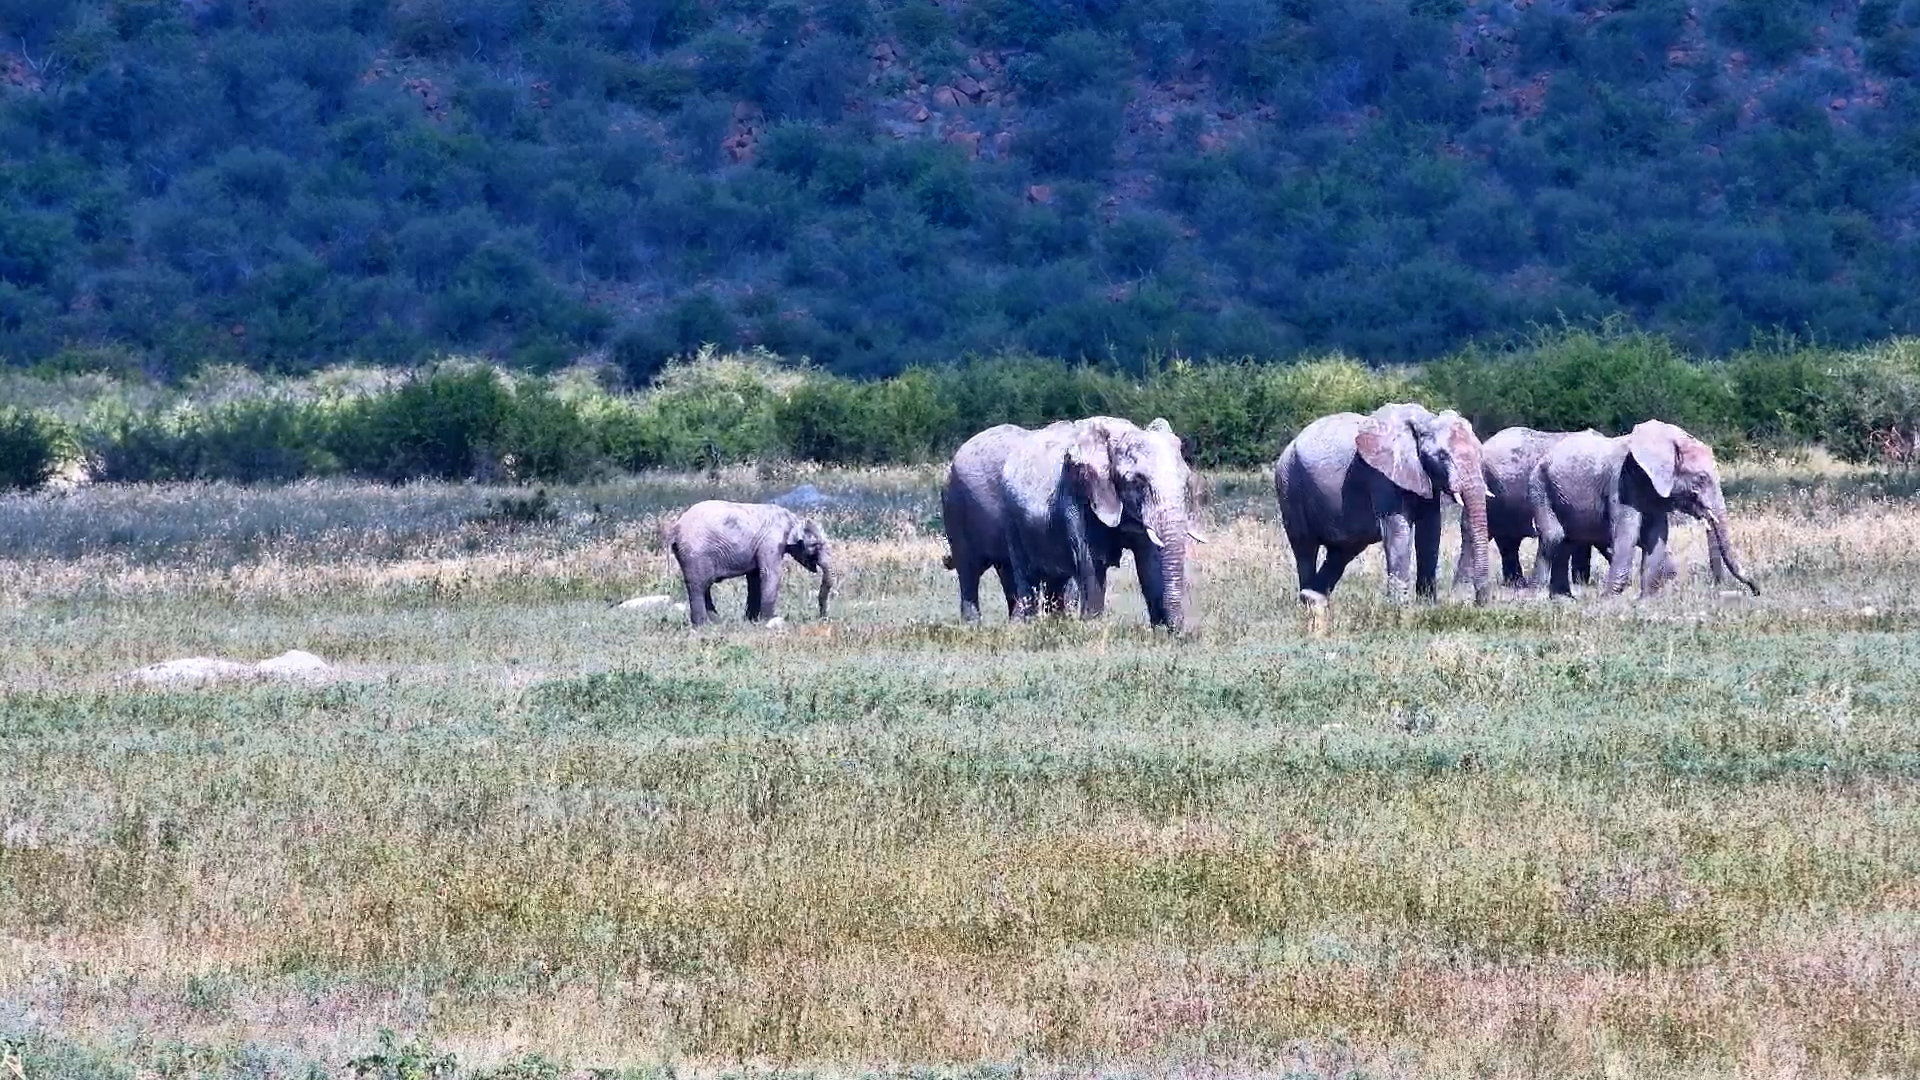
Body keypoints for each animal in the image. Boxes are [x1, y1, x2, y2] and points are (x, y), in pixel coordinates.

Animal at [666, 500, 835, 626]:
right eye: (817, 545)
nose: (823, 618)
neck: (793, 519)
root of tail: (675, 528)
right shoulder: (771, 541)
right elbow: (770, 574)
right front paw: (768, 620)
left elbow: (755, 577)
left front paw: (752, 621)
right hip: (695, 554)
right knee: (699, 586)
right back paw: (702, 625)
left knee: (704, 587)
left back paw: (716, 623)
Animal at [999, 416, 1206, 629]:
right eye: (1138, 481)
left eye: (1186, 481)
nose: (1178, 629)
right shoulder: (1079, 494)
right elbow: (1093, 563)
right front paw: (1092, 627)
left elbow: (1149, 561)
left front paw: (1160, 631)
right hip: (1012, 521)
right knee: (1026, 577)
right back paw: (1027, 625)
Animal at [1275, 403, 1492, 606]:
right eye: (1442, 456)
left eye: (1480, 453)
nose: (1480, 602)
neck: (1426, 421)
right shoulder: (1381, 475)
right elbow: (1397, 530)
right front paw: (1400, 608)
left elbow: (1430, 531)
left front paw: (1427, 605)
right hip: (1289, 486)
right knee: (1305, 548)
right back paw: (1308, 603)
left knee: (1342, 552)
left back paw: (1314, 599)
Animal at [1530, 420, 1759, 598]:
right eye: (1701, 479)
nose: (1756, 590)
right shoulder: (1621, 483)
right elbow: (1627, 535)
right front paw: (1608, 600)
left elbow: (1656, 537)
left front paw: (1645, 600)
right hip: (1539, 485)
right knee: (1555, 536)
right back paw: (1537, 594)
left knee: (1568, 540)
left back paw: (1562, 599)